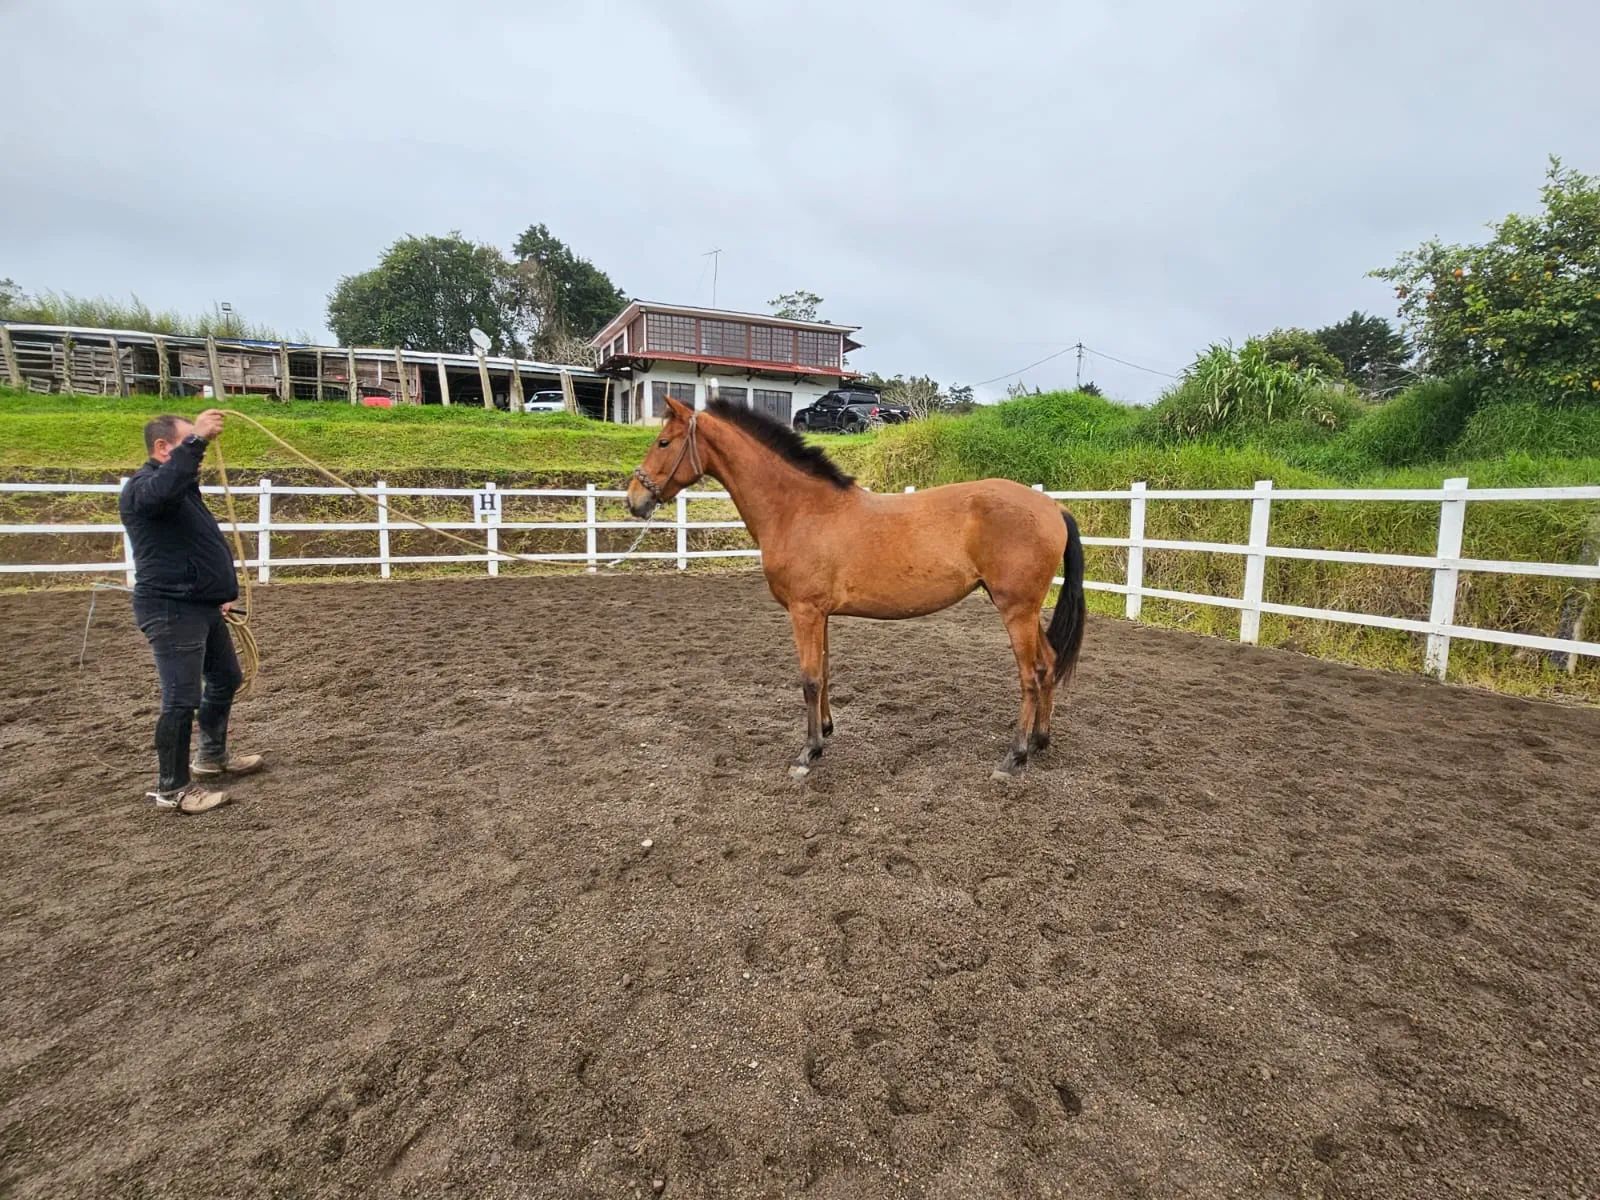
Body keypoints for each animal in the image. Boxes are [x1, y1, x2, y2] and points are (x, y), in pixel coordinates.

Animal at [626, 396, 1086, 779]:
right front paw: (826, 731)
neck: (799, 509)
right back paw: (1040, 741)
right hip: (1024, 609)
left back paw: (1015, 756)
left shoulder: (805, 611)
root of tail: (1053, 507)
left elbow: (809, 678)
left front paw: (807, 753)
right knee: (1048, 662)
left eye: (663, 442)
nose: (634, 500)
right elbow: (825, 671)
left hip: (1016, 610)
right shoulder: (820, 614)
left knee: (1031, 673)